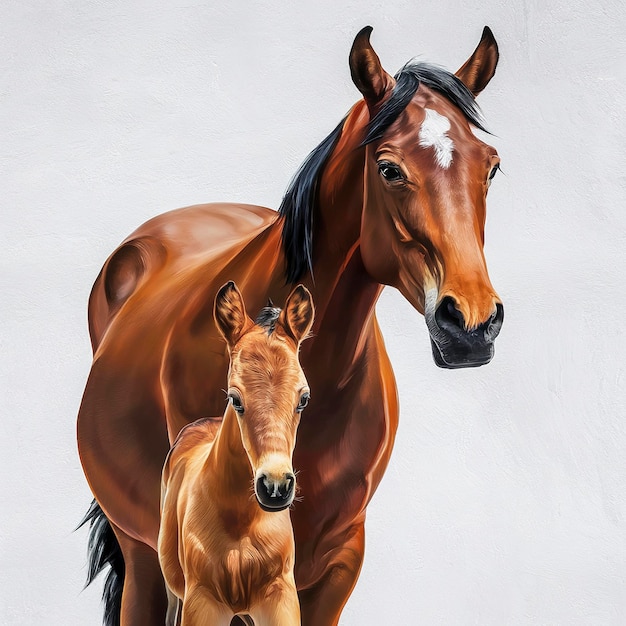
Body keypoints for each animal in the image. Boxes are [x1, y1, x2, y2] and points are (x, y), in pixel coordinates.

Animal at [156, 282, 312, 624]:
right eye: (235, 398)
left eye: (303, 398)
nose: (275, 487)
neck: (242, 523)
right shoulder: (201, 602)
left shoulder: (280, 598)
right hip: (174, 590)